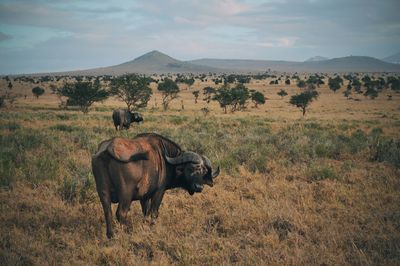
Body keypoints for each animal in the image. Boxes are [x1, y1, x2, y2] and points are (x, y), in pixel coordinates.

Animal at [92, 132, 220, 238]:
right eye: (190, 169)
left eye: (203, 171)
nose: (199, 187)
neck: (165, 160)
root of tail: (108, 147)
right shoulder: (159, 192)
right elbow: (154, 212)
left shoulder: (144, 196)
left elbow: (145, 212)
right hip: (125, 195)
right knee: (121, 213)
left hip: (103, 192)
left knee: (107, 212)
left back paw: (110, 235)